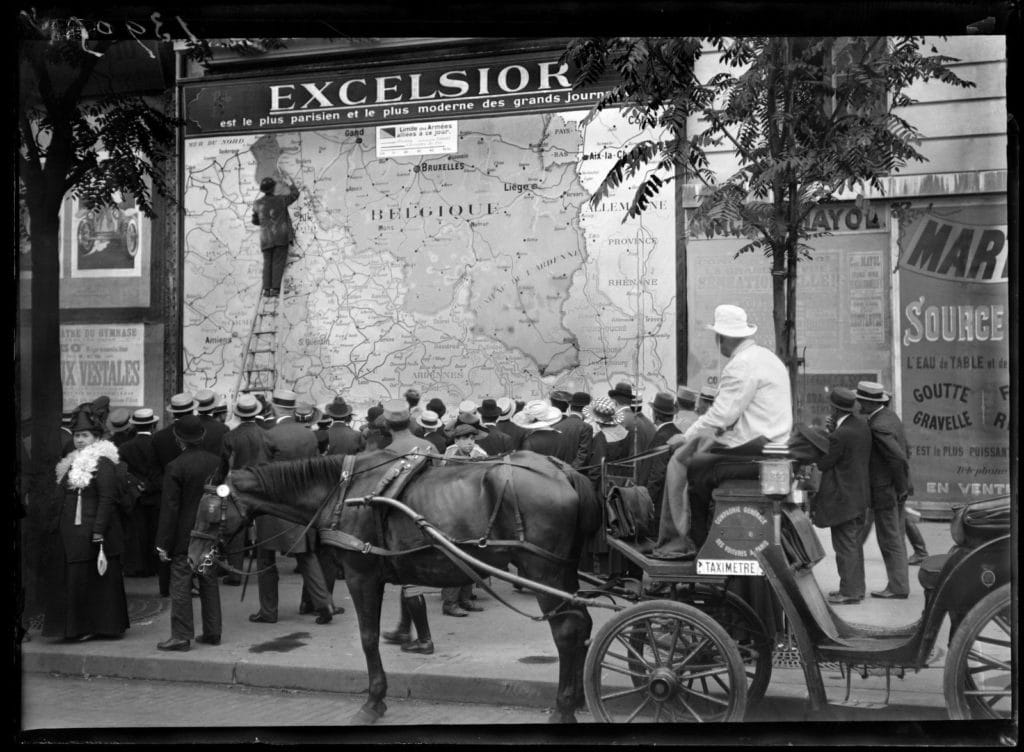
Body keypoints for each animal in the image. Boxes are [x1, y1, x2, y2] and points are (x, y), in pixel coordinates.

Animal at [187, 450, 598, 729]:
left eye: (209, 511)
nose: (192, 559)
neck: (344, 492)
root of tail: (561, 470)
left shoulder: (361, 575)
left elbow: (368, 638)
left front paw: (373, 701)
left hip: (543, 570)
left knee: (566, 631)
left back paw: (563, 708)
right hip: (563, 573)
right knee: (583, 624)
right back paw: (579, 696)